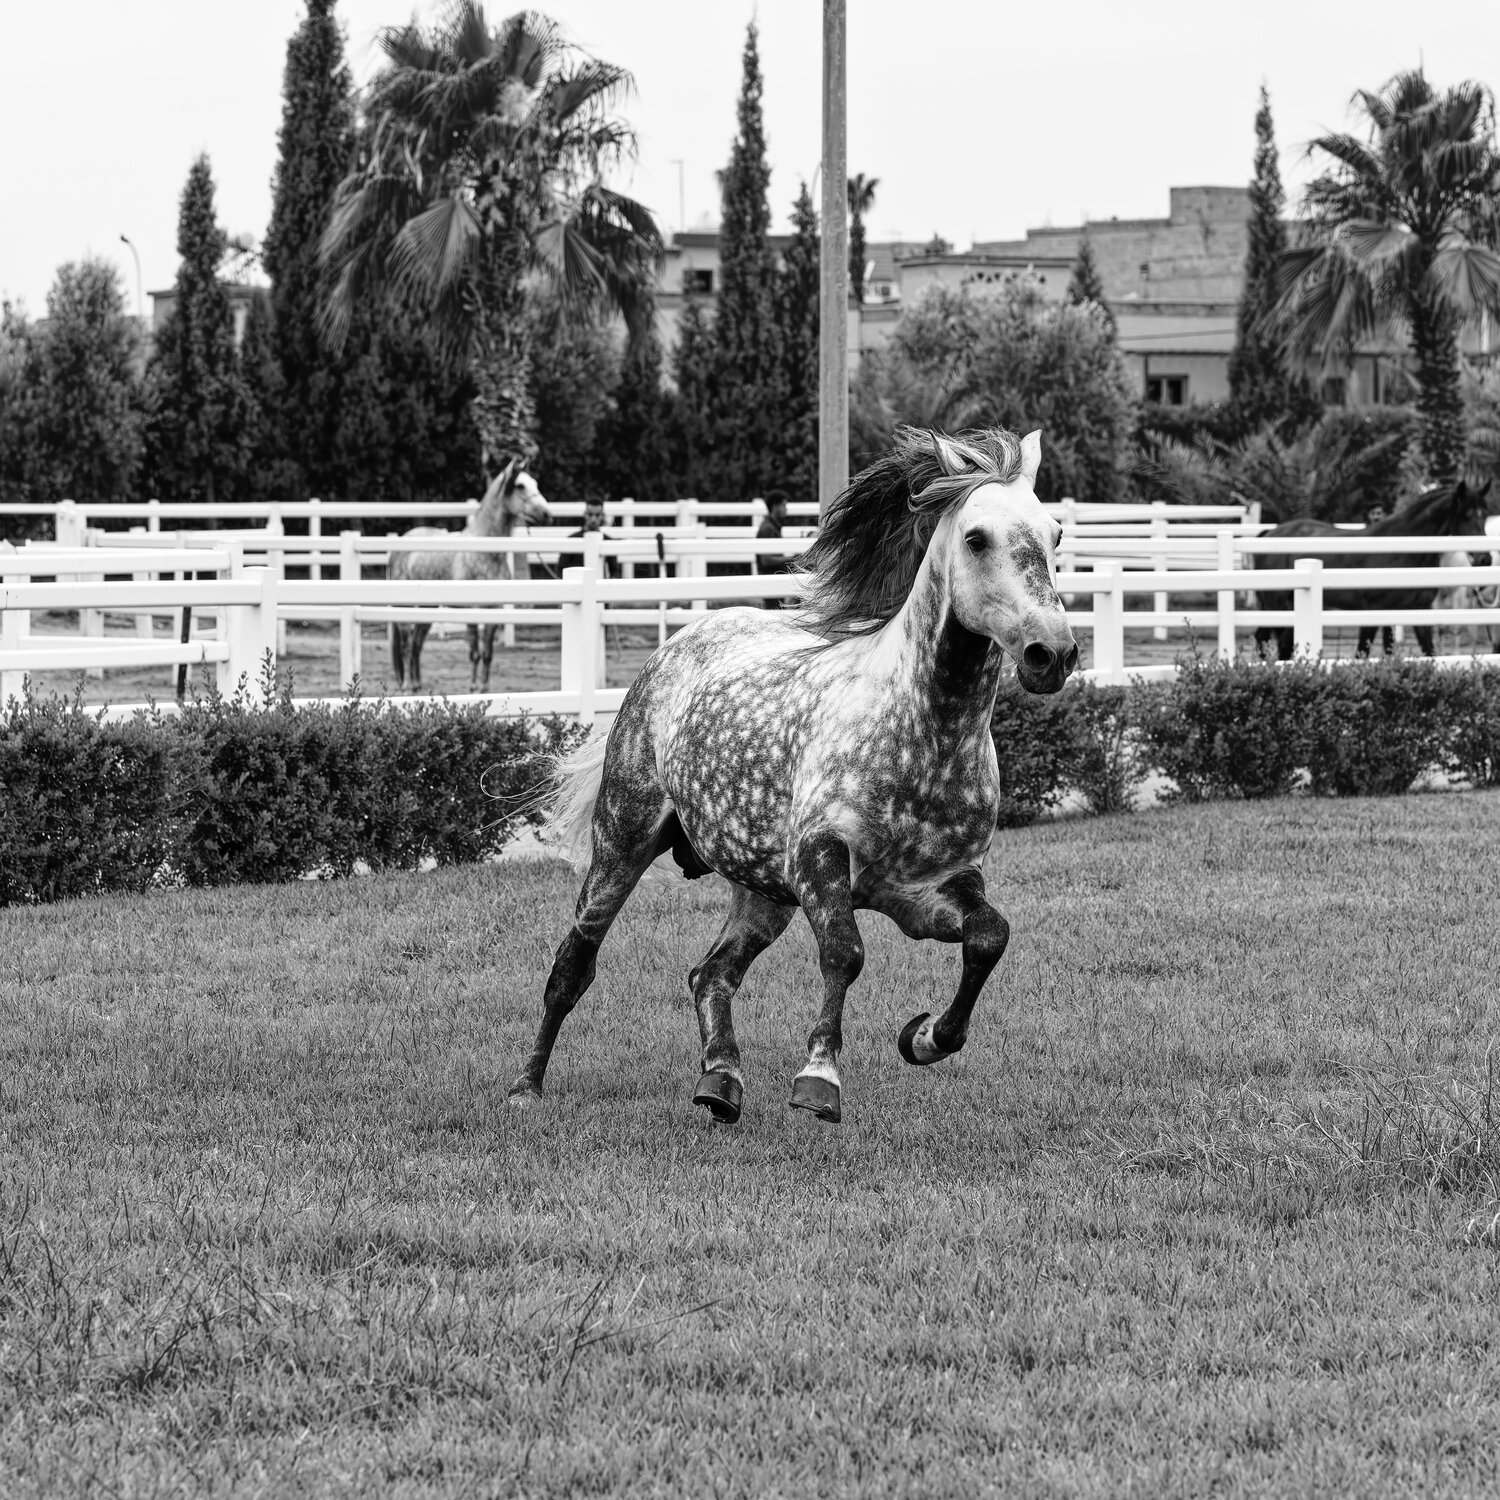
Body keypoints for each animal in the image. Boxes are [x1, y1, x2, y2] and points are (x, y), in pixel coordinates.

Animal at [388, 460, 551, 692]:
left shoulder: (494, 611)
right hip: (405, 608)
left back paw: (418, 685)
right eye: (520, 486)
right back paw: (407, 686)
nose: (547, 513)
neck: (486, 552)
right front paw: (473, 688)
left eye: (535, 483)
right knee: (407, 644)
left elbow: (488, 654)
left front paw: (484, 688)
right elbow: (474, 653)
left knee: (417, 643)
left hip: (428, 608)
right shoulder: (471, 611)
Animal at [509, 426, 1078, 1126]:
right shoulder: (820, 861)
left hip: (762, 892)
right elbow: (845, 953)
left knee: (710, 974)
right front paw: (819, 1079)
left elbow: (989, 938)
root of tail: (678, 642)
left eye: (1055, 535)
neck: (924, 738)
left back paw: (721, 1081)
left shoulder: (929, 892)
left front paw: (923, 1037)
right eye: (976, 538)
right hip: (623, 842)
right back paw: (527, 1086)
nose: (1053, 653)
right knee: (573, 966)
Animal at [1252, 479, 1496, 661]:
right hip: (1278, 607)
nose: (1485, 558)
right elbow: (1362, 654)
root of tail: (1270, 533)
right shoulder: (1371, 612)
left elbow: (1427, 653)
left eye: (1484, 515)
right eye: (1466, 516)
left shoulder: (1416, 611)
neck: (1403, 548)